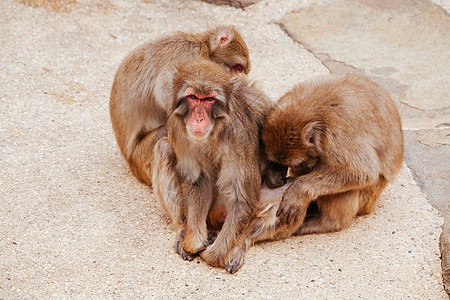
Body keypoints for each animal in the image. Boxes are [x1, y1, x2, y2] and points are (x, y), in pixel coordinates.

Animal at [109, 26, 250, 185]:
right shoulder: (191, 59)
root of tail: (130, 161)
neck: (204, 46)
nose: (237, 79)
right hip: (143, 157)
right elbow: (165, 91)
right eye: (238, 68)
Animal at [151, 58, 272, 272]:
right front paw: (195, 241)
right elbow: (197, 181)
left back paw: (239, 245)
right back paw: (183, 229)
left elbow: (242, 199)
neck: (215, 130)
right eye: (193, 97)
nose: (198, 118)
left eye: (208, 99)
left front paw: (214, 255)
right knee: (163, 147)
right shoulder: (177, 127)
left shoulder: (238, 134)